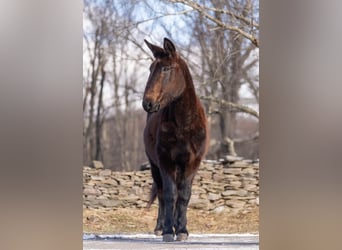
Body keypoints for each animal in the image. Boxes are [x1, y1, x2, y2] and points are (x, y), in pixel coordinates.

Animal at [142, 37, 208, 242]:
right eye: (150, 69)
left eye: (166, 68)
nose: (147, 103)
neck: (184, 124)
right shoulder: (165, 162)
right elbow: (170, 194)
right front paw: (167, 231)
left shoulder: (192, 163)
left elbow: (184, 195)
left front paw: (182, 230)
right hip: (155, 166)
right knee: (161, 193)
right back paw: (160, 227)